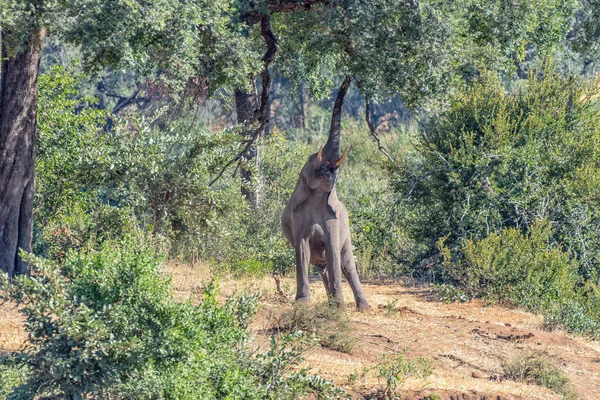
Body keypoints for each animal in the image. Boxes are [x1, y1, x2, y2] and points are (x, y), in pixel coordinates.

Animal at [282, 76, 370, 310]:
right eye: (312, 158)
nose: (350, 76)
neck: (317, 197)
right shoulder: (298, 216)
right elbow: (302, 251)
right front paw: (302, 303)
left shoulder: (335, 219)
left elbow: (333, 251)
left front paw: (339, 306)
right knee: (321, 265)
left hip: (348, 231)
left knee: (347, 263)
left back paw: (362, 307)